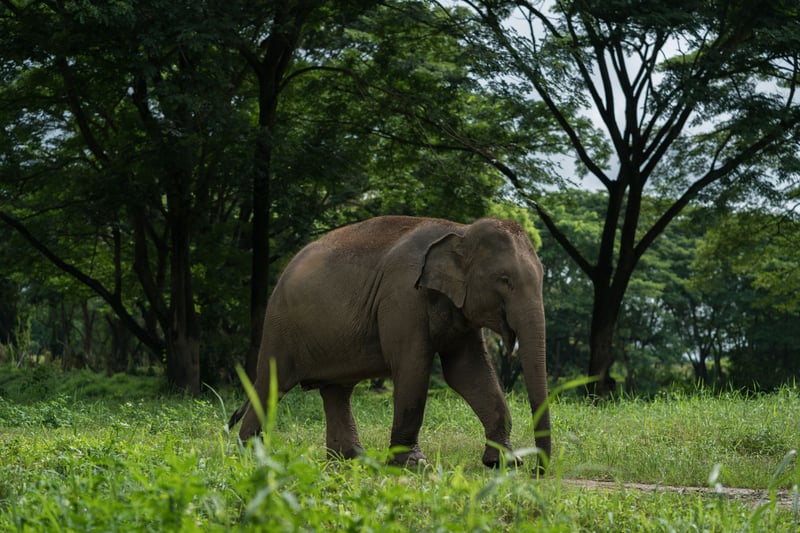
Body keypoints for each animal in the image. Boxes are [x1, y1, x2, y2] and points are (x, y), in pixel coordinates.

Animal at [227, 214, 552, 468]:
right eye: (504, 280)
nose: (540, 469)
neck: (460, 229)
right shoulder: (402, 297)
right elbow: (413, 367)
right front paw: (415, 465)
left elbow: (467, 372)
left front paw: (504, 462)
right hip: (279, 326)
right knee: (271, 385)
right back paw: (250, 457)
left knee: (336, 391)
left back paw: (351, 460)